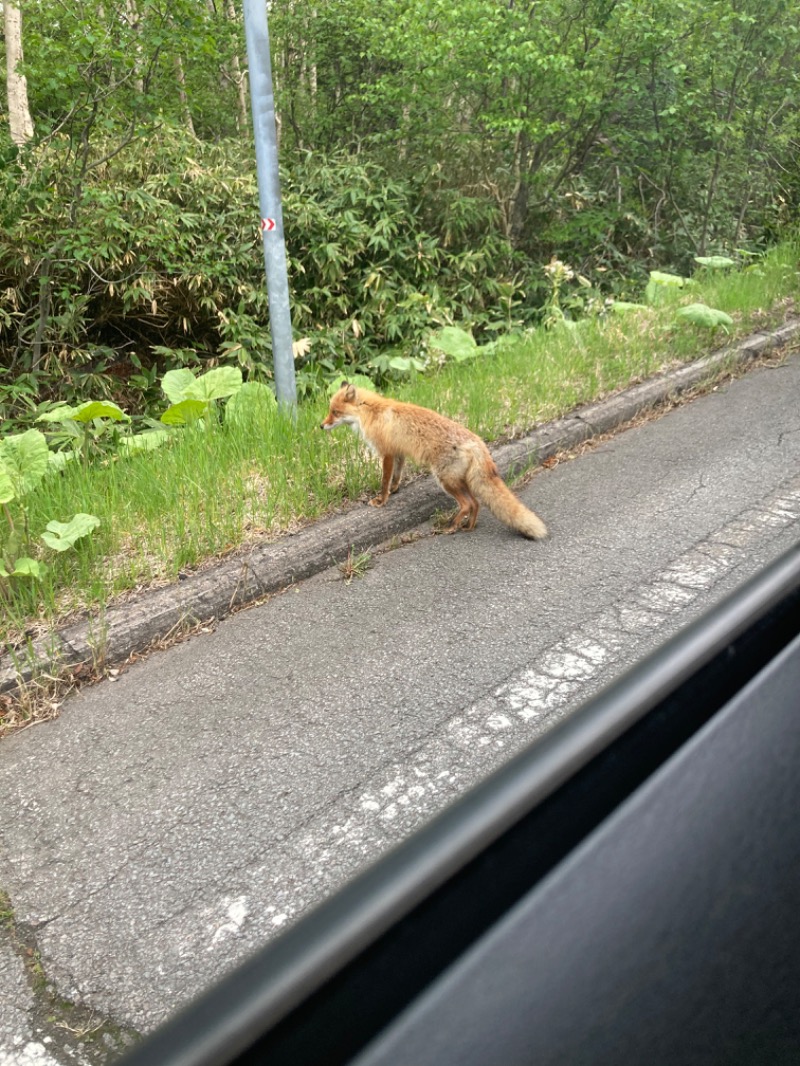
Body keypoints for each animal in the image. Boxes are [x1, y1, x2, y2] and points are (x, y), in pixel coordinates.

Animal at [322, 381, 550, 541]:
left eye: (335, 412)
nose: (321, 426)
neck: (370, 411)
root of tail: (478, 442)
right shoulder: (398, 453)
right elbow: (396, 476)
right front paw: (395, 490)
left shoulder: (386, 453)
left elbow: (385, 481)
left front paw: (381, 500)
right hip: (460, 481)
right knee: (476, 503)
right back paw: (468, 527)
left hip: (445, 480)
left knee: (468, 504)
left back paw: (451, 527)